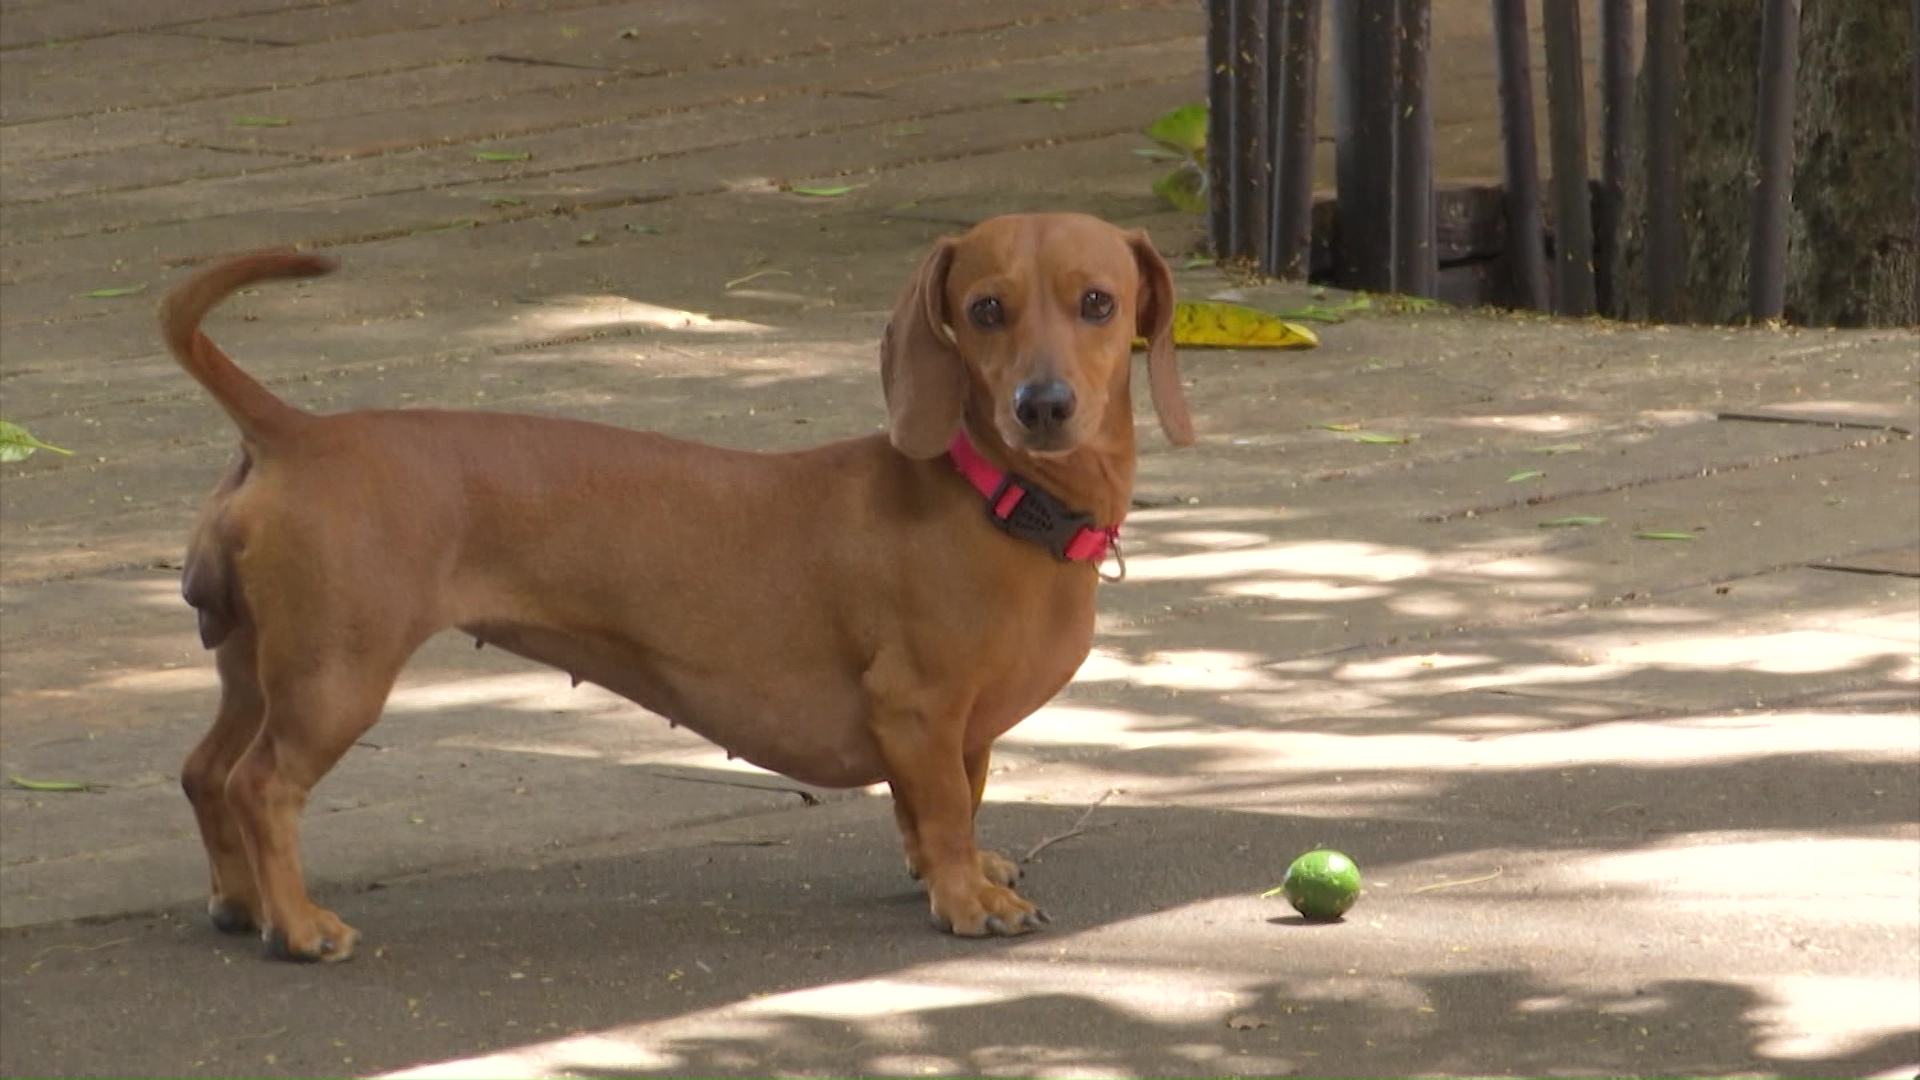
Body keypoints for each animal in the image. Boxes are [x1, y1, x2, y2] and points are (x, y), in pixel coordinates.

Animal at [168, 212, 1182, 957]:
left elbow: (954, 802)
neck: (995, 499)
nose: (1042, 406)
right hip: (334, 678)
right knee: (261, 786)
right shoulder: (917, 708)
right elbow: (939, 808)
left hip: (257, 668)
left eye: (1098, 302)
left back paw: (241, 903)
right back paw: (298, 926)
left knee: (206, 771)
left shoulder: (954, 731)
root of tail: (295, 433)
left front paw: (959, 872)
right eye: (984, 309)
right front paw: (966, 898)